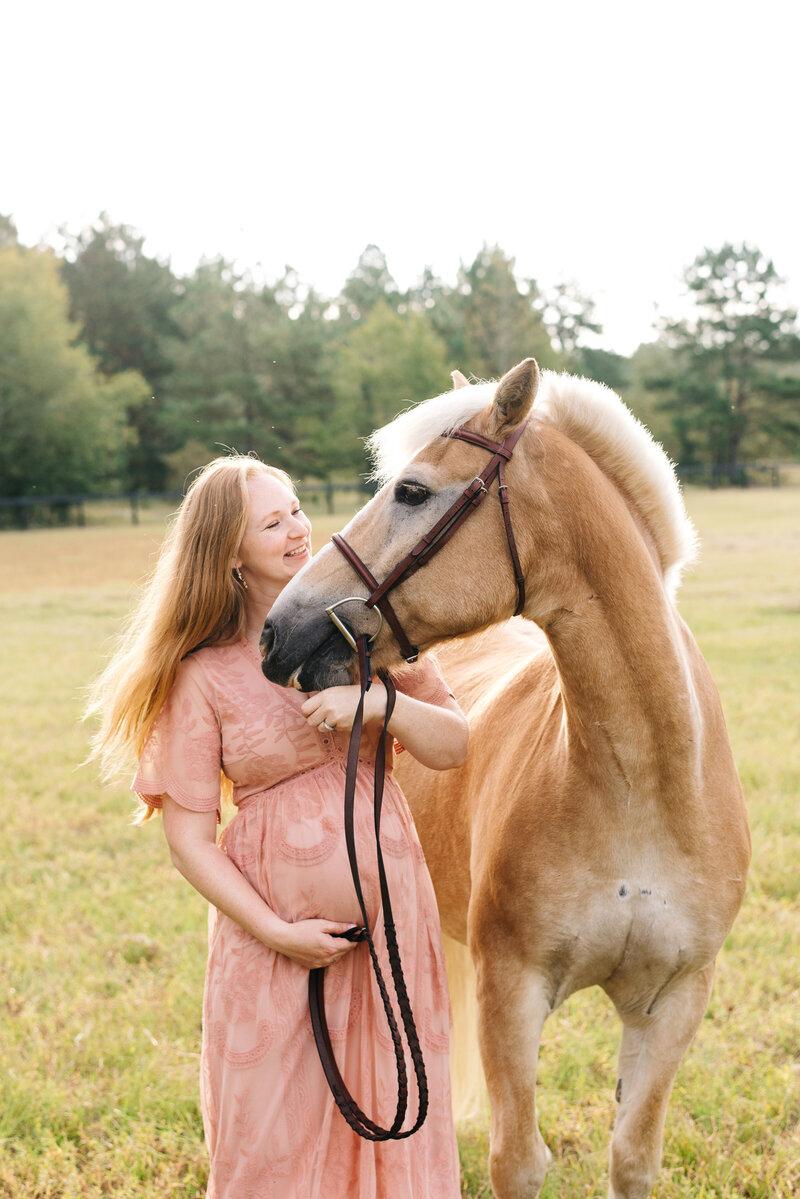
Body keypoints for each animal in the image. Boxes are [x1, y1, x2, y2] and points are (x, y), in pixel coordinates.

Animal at [261, 358, 750, 1199]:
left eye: (413, 491)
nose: (276, 629)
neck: (643, 793)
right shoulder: (511, 991)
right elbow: (517, 1161)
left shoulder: (675, 1001)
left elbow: (632, 1157)